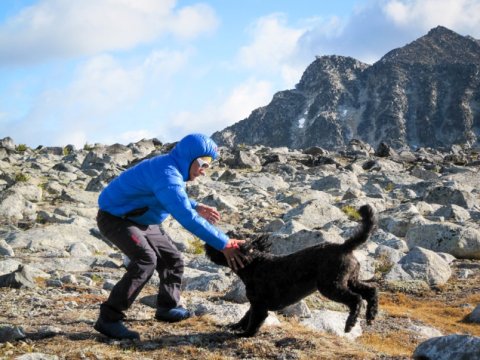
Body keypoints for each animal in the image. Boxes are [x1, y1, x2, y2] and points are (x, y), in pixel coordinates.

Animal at [204, 205, 376, 338]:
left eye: (224, 241)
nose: (207, 243)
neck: (253, 263)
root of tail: (345, 246)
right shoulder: (255, 303)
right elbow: (246, 316)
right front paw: (235, 326)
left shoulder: (260, 305)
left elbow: (253, 321)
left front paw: (245, 334)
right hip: (350, 280)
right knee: (371, 291)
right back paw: (371, 315)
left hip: (331, 285)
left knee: (356, 299)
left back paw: (350, 323)